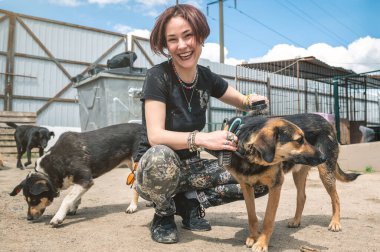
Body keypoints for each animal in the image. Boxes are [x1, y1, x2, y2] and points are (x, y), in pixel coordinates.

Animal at [224, 113, 360, 252]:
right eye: (299, 140)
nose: (323, 157)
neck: (253, 160)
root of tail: (325, 121)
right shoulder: (245, 186)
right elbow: (251, 216)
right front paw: (253, 237)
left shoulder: (276, 185)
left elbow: (268, 219)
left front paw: (261, 243)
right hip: (299, 173)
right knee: (302, 196)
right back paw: (296, 220)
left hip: (325, 172)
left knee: (335, 198)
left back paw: (335, 222)